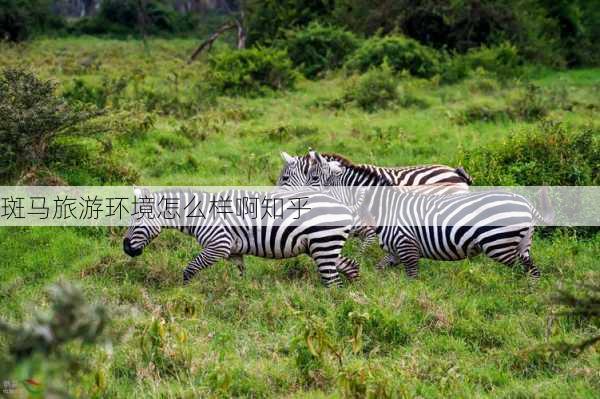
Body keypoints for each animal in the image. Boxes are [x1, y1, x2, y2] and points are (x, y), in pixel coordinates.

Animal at [119, 188, 358, 288]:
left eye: (137, 219)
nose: (126, 249)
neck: (201, 214)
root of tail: (345, 207)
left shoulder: (219, 245)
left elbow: (190, 268)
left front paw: (184, 293)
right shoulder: (234, 252)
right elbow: (241, 275)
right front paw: (241, 295)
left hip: (323, 244)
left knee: (333, 282)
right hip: (321, 246)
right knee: (351, 266)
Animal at [298, 152, 552, 280]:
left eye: (314, 179)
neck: (383, 207)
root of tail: (525, 204)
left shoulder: (407, 247)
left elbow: (412, 280)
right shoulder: (395, 251)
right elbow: (380, 268)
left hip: (499, 245)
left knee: (521, 269)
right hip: (523, 244)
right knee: (533, 269)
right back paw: (528, 296)